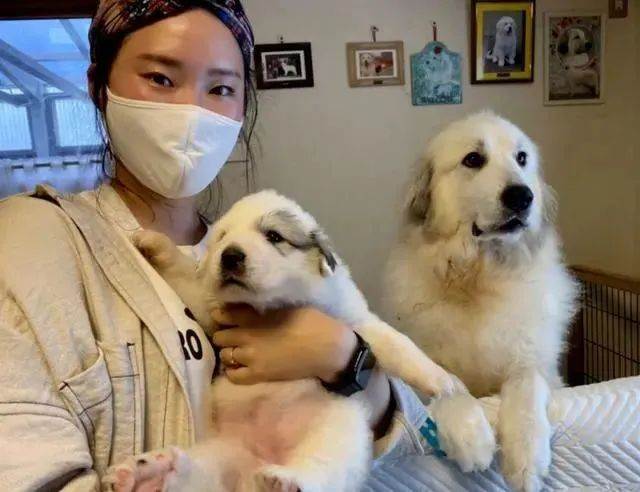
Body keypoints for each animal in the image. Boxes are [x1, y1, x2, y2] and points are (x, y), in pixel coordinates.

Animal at [104, 190, 457, 492]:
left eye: (273, 236)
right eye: (222, 237)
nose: (230, 256)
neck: (270, 306)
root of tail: (259, 464)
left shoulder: (354, 319)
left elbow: (396, 342)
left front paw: (441, 381)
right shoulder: (208, 305)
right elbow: (186, 276)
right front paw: (156, 242)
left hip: (337, 430)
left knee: (320, 470)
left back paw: (285, 479)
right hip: (222, 456)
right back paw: (151, 473)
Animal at [384, 112, 578, 492]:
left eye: (521, 158)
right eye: (473, 159)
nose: (522, 196)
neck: (478, 278)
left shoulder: (537, 364)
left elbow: (527, 384)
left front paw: (527, 456)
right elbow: (445, 382)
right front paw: (471, 434)